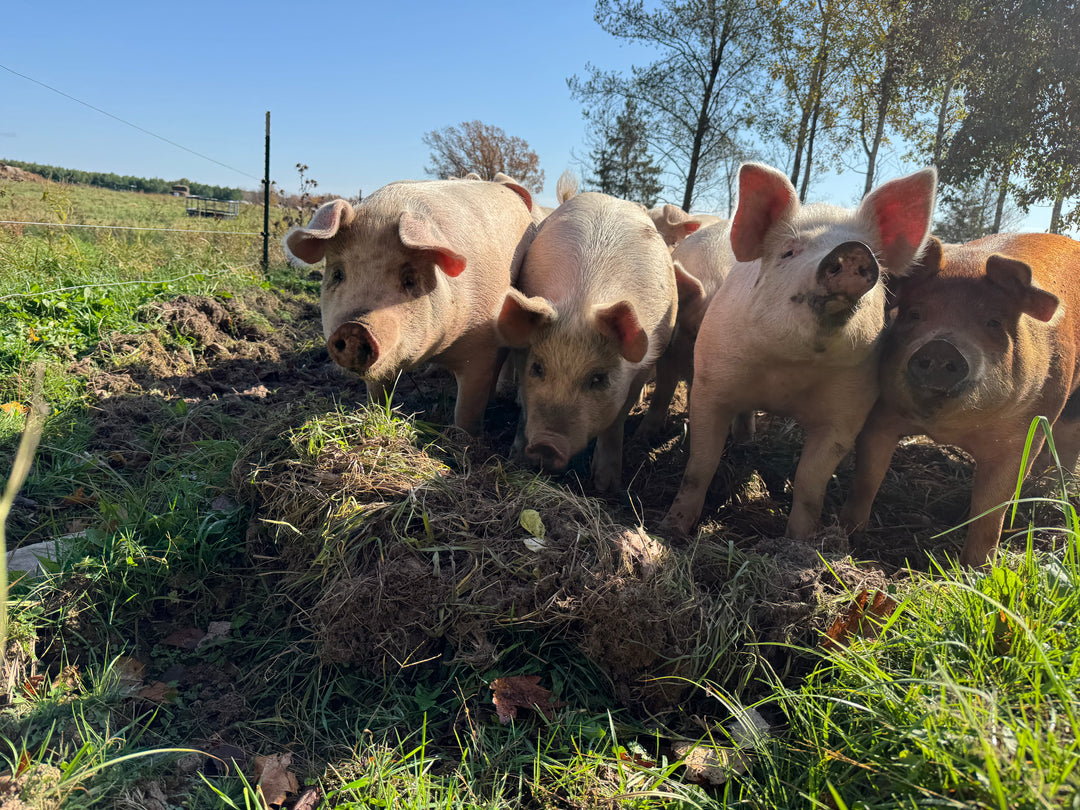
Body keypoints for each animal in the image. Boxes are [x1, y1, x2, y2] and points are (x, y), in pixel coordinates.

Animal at [283, 176, 537, 435]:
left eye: (409, 280)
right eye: (337, 274)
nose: (354, 328)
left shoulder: (483, 346)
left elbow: (468, 408)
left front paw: (465, 438)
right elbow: (377, 392)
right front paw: (375, 415)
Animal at [496, 191, 688, 491]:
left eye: (598, 378)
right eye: (538, 368)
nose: (546, 445)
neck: (581, 305)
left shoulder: (641, 368)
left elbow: (617, 420)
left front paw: (606, 486)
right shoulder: (524, 351)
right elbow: (526, 406)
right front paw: (515, 458)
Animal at [661, 162, 937, 539]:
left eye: (874, 258)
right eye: (789, 251)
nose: (853, 250)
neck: (790, 370)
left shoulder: (848, 411)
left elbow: (810, 484)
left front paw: (799, 541)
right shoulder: (711, 384)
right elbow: (700, 465)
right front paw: (672, 529)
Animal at [839, 233, 1080, 566]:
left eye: (993, 322)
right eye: (915, 314)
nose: (942, 346)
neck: (948, 431)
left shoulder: (1022, 435)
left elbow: (992, 509)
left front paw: (976, 568)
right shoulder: (881, 413)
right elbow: (868, 476)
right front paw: (847, 535)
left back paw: (1051, 491)